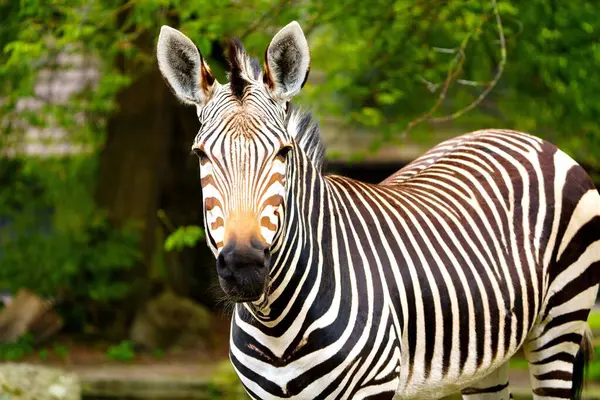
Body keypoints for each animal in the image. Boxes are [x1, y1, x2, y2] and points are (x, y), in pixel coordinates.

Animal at [157, 21, 600, 400]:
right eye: (200, 155)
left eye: (283, 152)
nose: (244, 266)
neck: (276, 322)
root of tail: (525, 136)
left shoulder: (373, 386)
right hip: (488, 354)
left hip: (559, 325)